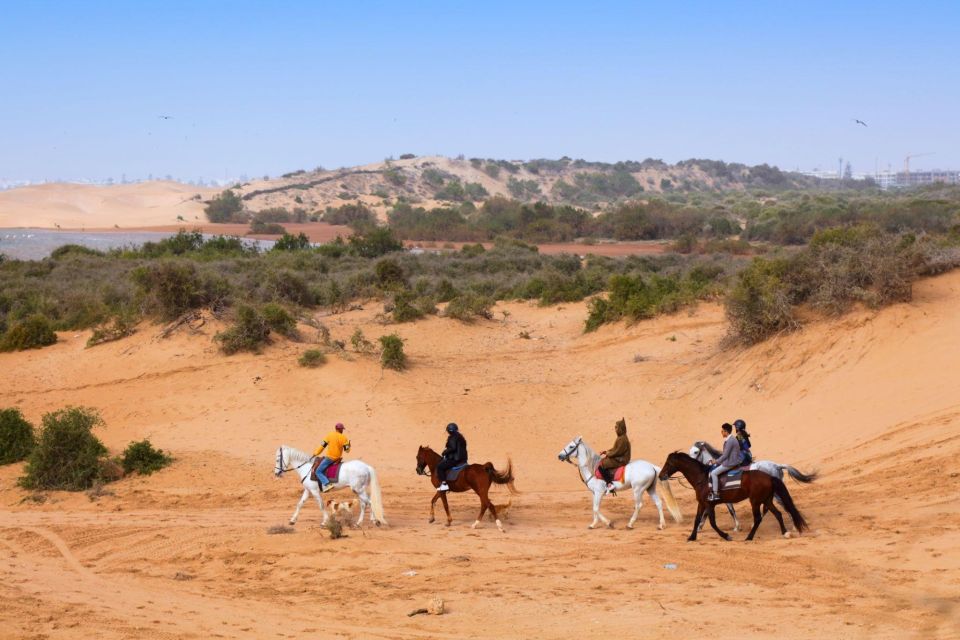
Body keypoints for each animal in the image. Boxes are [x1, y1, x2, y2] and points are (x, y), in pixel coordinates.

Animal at [556, 436, 684, 528]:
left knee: (638, 505)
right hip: (650, 489)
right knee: (658, 503)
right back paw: (661, 525)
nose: (560, 456)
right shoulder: (594, 493)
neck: (592, 467)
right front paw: (593, 524)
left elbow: (596, 509)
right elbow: (594, 508)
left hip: (638, 490)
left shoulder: (599, 493)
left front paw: (608, 523)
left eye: (571, 446)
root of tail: (651, 466)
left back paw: (630, 524)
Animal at [656, 450, 808, 540]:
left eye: (669, 463)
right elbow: (697, 519)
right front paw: (692, 537)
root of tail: (769, 476)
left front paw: (726, 535)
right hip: (767, 500)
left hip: (755, 501)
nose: (661, 475)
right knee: (778, 513)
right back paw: (785, 532)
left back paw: (749, 537)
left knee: (759, 517)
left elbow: (712, 522)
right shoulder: (702, 503)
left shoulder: (709, 504)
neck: (702, 478)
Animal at [688, 440, 816, 536]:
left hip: (774, 493)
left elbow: (729, 511)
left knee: (784, 505)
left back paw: (794, 526)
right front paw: (699, 527)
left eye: (696, 451)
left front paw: (737, 527)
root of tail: (776, 466)